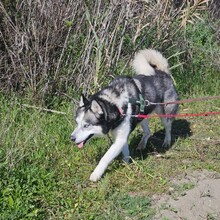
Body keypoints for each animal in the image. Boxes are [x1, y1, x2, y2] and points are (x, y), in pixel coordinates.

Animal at [70, 49, 179, 182]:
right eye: (77, 123)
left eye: (86, 125)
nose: (71, 138)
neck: (114, 105)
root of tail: (162, 71)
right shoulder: (121, 137)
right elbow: (125, 151)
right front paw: (127, 164)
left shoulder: (120, 139)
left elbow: (105, 157)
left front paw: (96, 174)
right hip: (141, 117)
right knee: (147, 132)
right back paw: (142, 145)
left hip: (164, 113)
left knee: (168, 127)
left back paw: (166, 142)